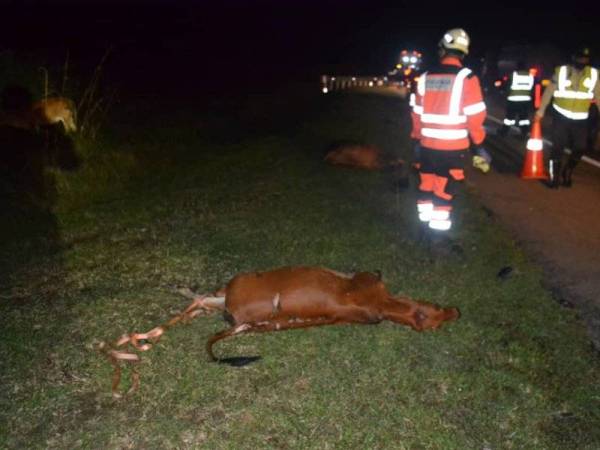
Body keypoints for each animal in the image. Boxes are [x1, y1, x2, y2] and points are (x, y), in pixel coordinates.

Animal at [104, 268, 460, 398]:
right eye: (436, 313)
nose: (456, 311)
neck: (383, 306)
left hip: (232, 289)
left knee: (199, 303)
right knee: (198, 304)